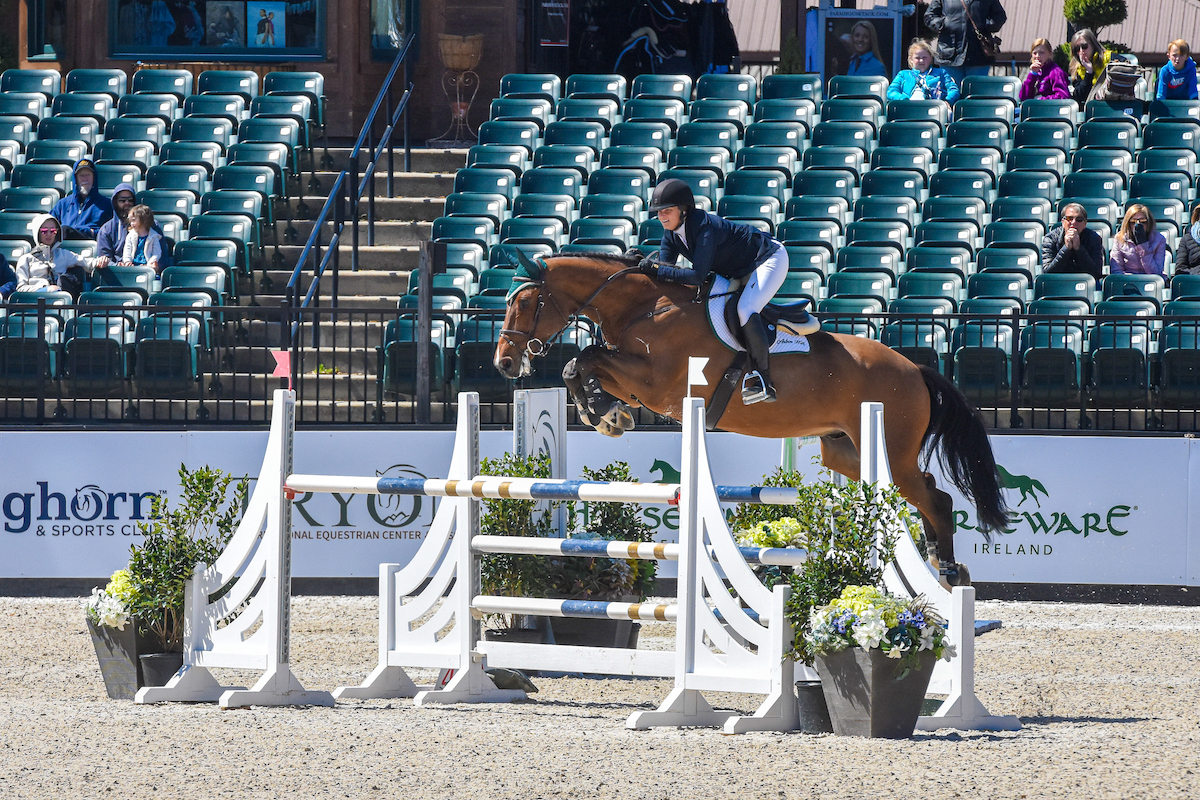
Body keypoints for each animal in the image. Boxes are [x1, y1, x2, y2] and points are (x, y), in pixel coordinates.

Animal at [492, 253, 1008, 585]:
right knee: (925, 492)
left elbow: (586, 359)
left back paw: (948, 570)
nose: (503, 363)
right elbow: (580, 365)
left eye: (524, 303)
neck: (647, 308)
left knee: (935, 497)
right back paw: (938, 559)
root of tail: (916, 370)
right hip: (847, 451)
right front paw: (605, 413)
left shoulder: (656, 383)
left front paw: (604, 414)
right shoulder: (637, 380)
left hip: (889, 452)